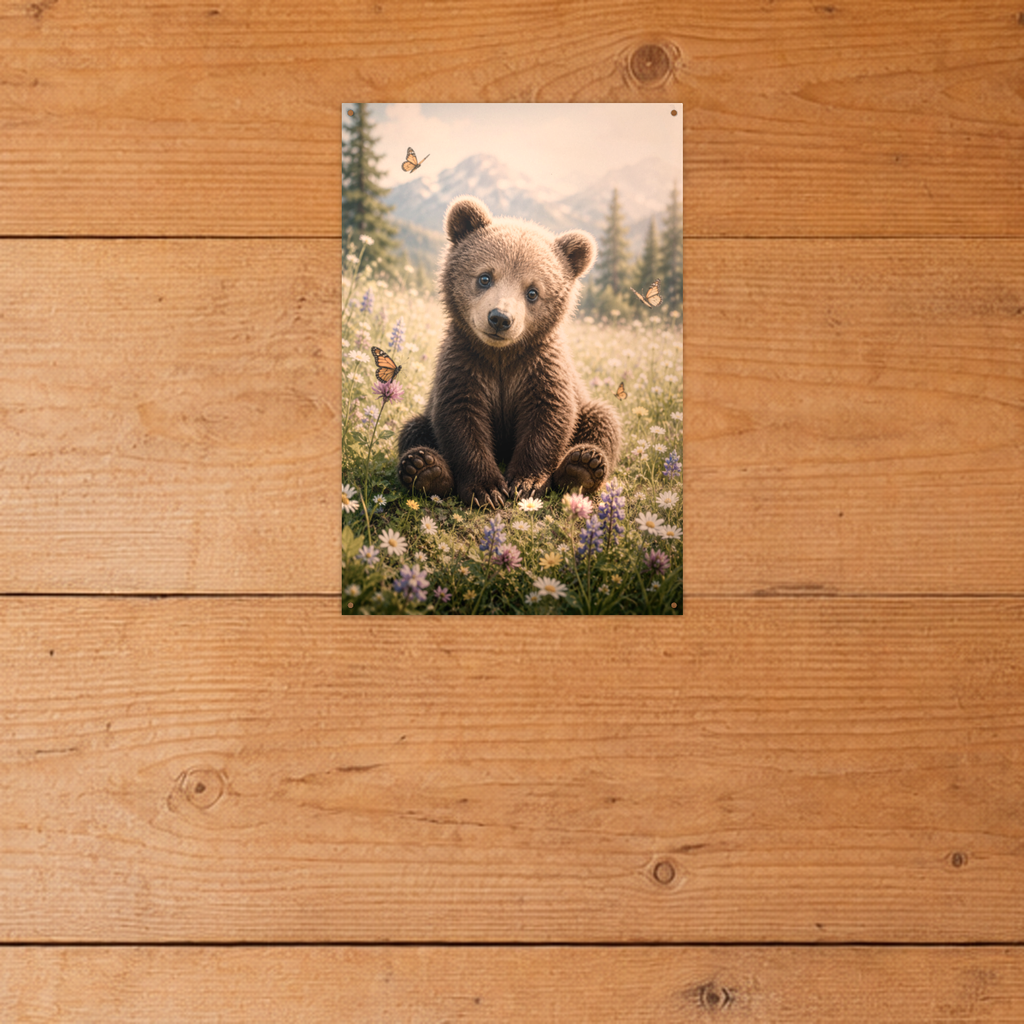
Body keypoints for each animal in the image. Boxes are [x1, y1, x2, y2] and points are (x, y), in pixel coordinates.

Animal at [397, 195, 622, 509]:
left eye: (533, 292)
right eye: (485, 277)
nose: (500, 318)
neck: (502, 356)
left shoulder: (539, 367)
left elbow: (549, 418)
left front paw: (525, 483)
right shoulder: (465, 364)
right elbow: (460, 419)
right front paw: (486, 489)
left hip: (586, 404)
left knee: (603, 419)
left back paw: (583, 466)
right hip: (425, 417)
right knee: (414, 429)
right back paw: (425, 468)